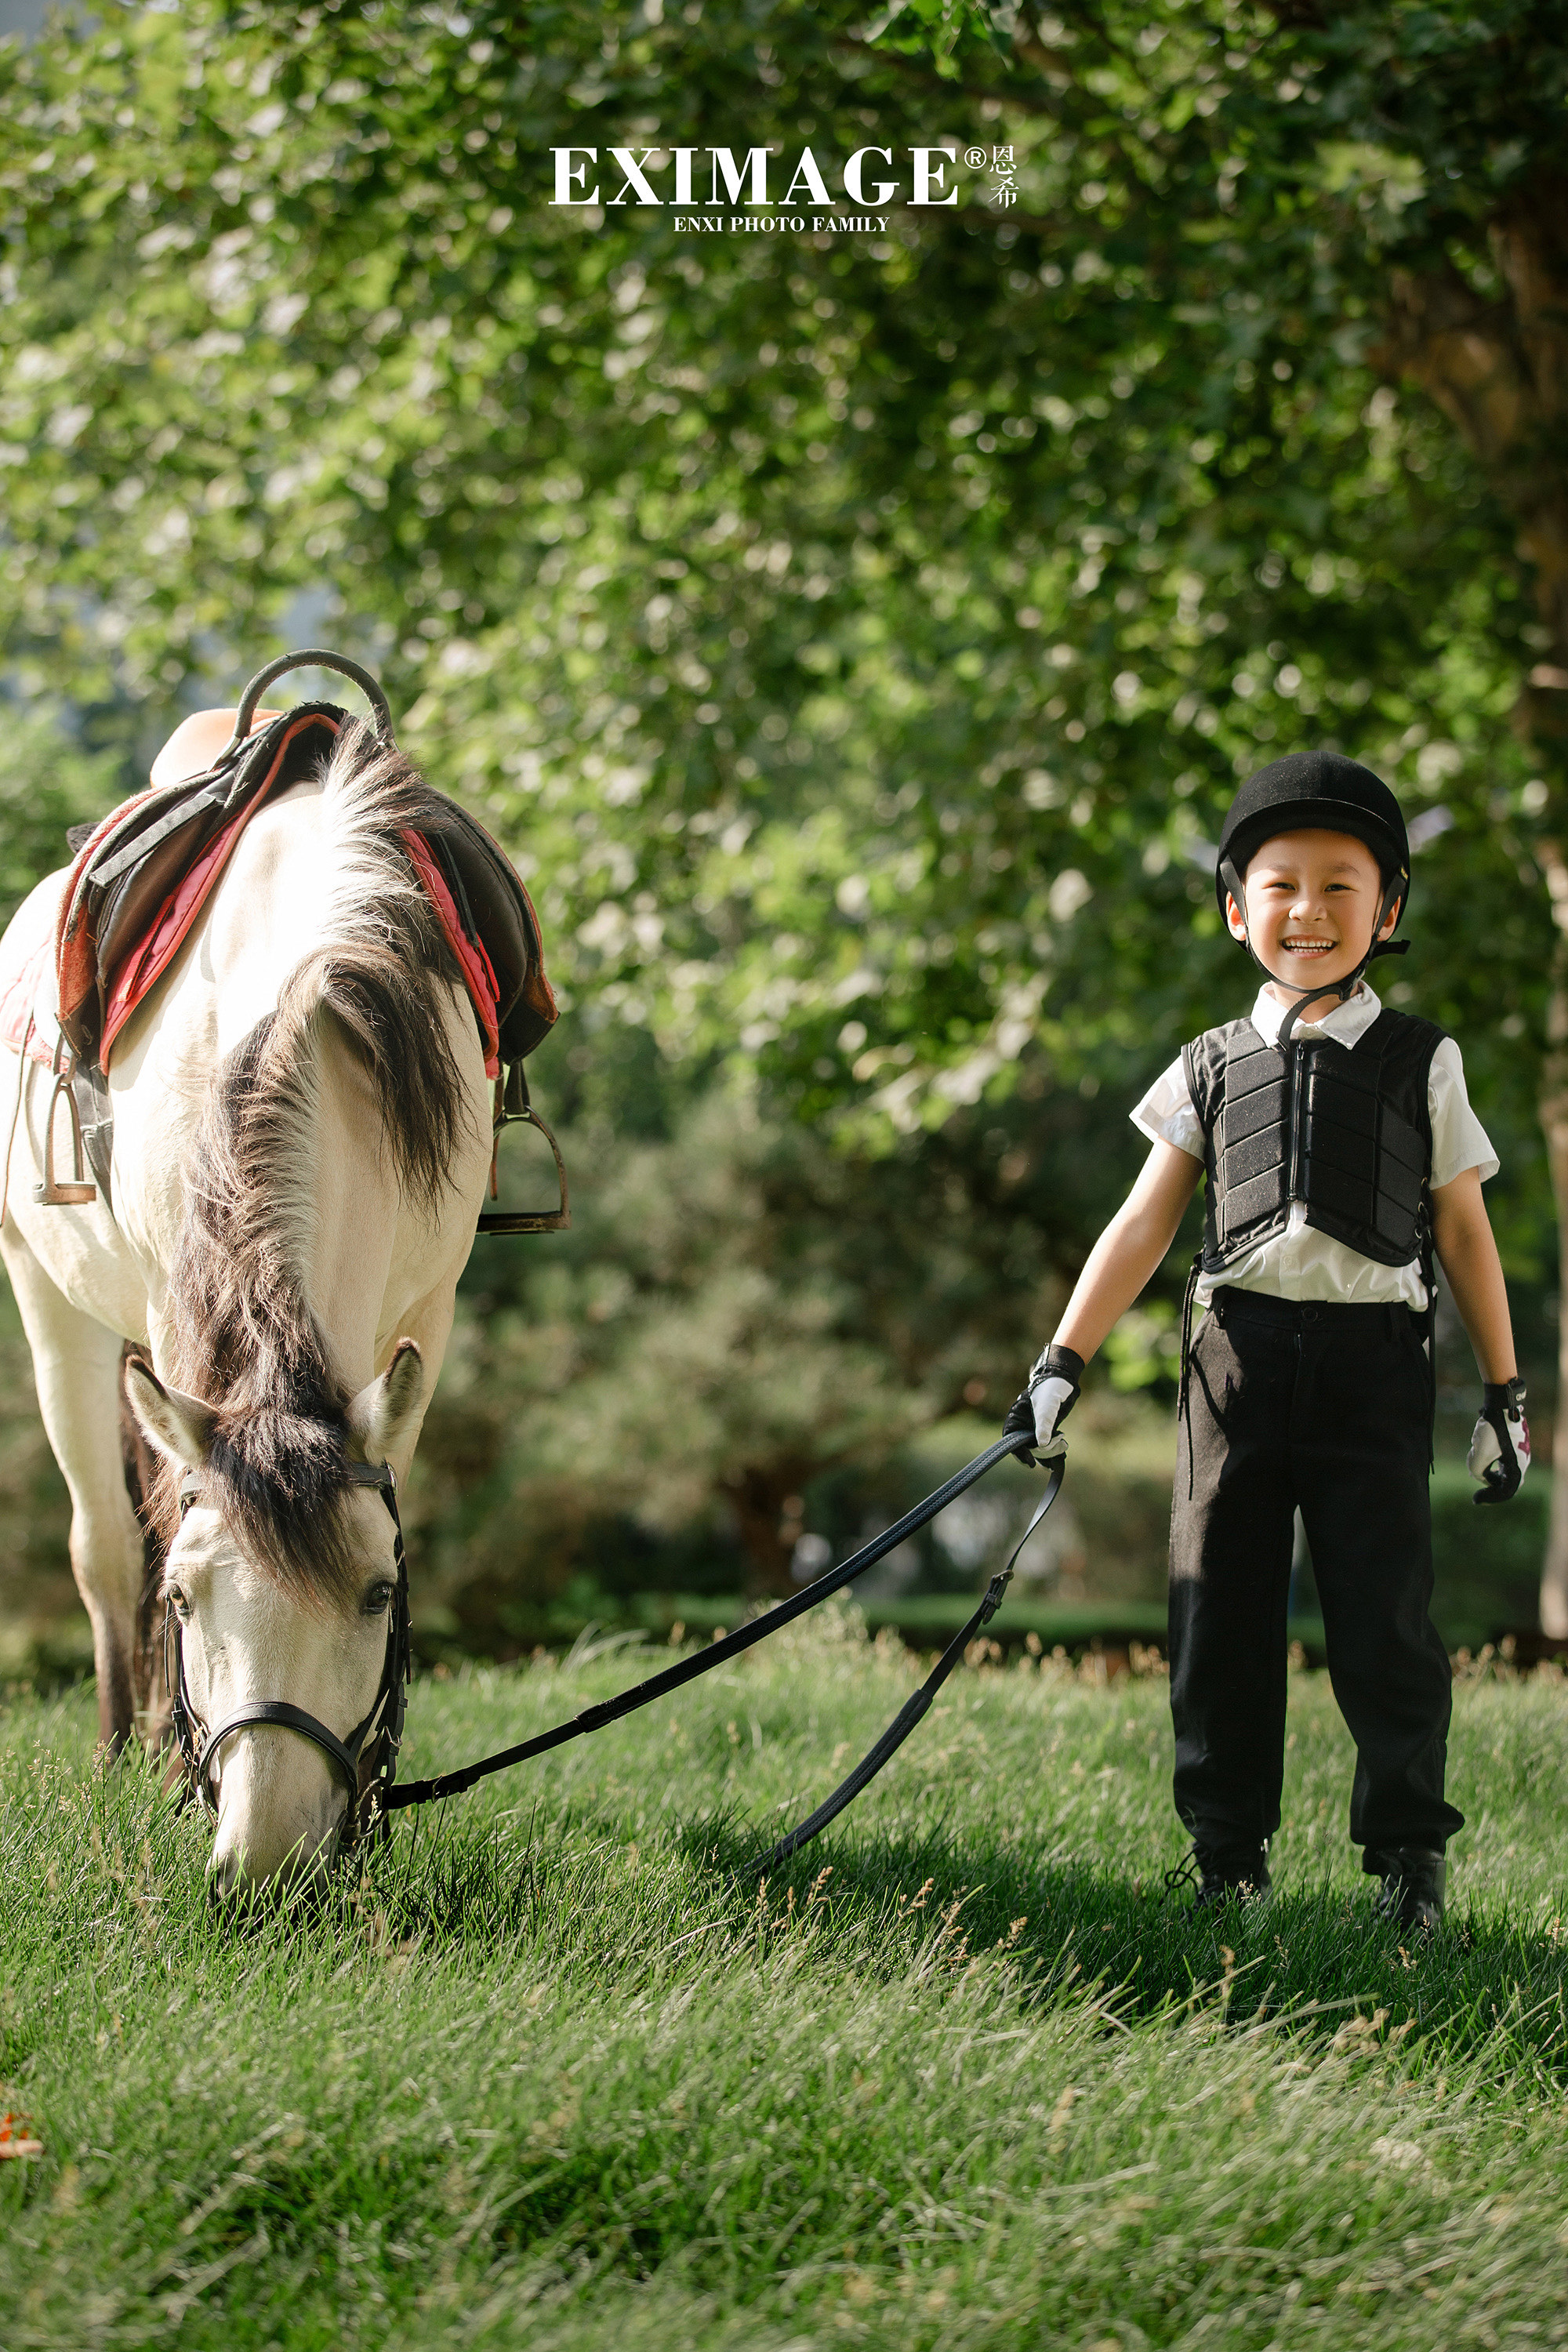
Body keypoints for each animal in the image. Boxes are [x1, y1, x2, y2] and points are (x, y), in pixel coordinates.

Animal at [0, 710, 491, 1891]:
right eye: (189, 1600)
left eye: (378, 1595)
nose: (266, 1866)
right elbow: (151, 1533)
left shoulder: (428, 1312)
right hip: (49, 1302)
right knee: (102, 1546)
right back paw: (121, 1756)